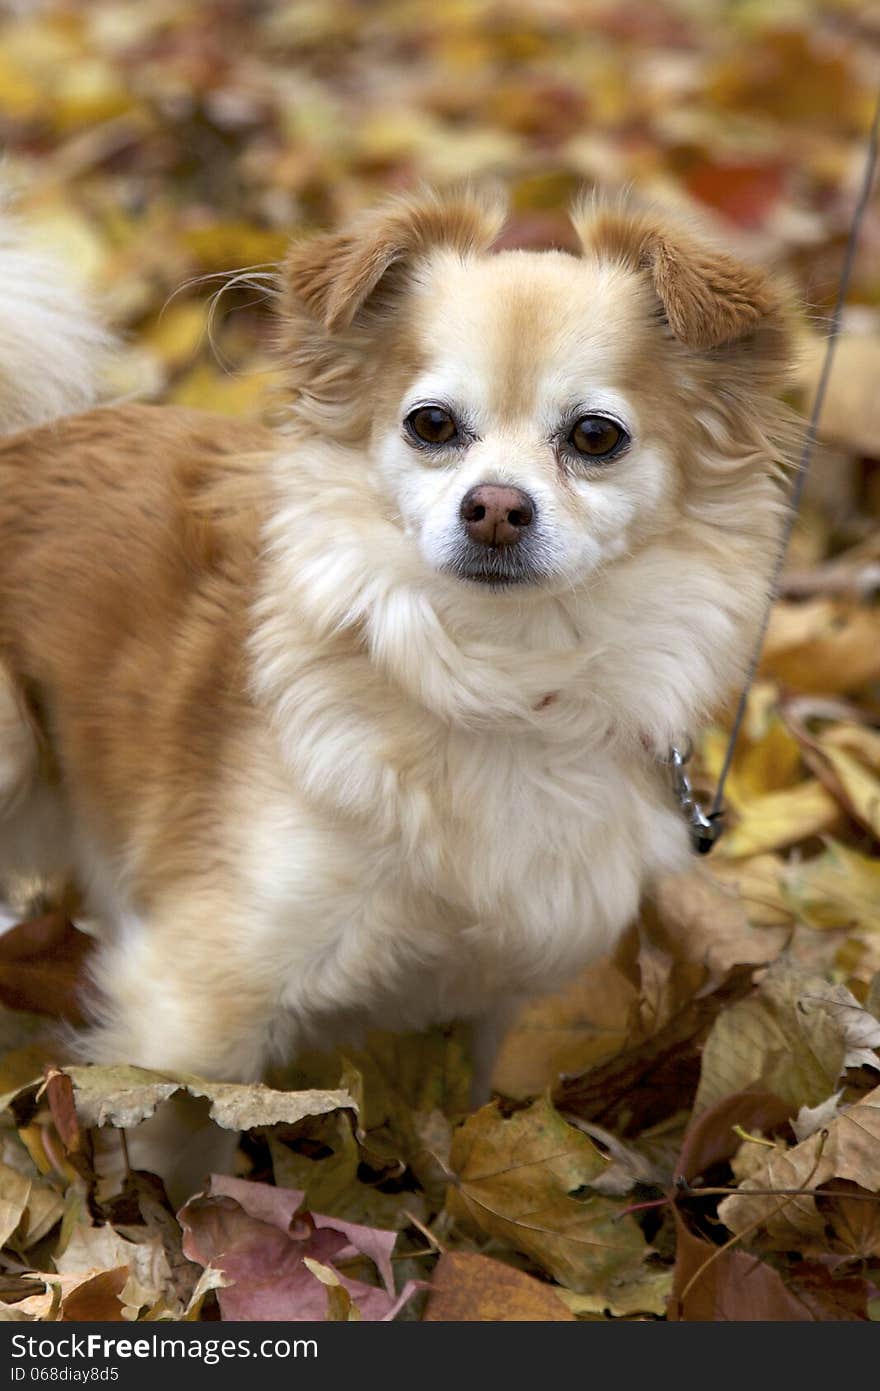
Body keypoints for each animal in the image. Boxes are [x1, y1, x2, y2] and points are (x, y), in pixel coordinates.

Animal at [0, 190, 795, 1190]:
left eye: (595, 437)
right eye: (432, 425)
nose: (494, 507)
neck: (504, 682)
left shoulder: (490, 1003)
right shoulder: (197, 996)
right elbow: (180, 1144)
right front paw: (165, 1217)